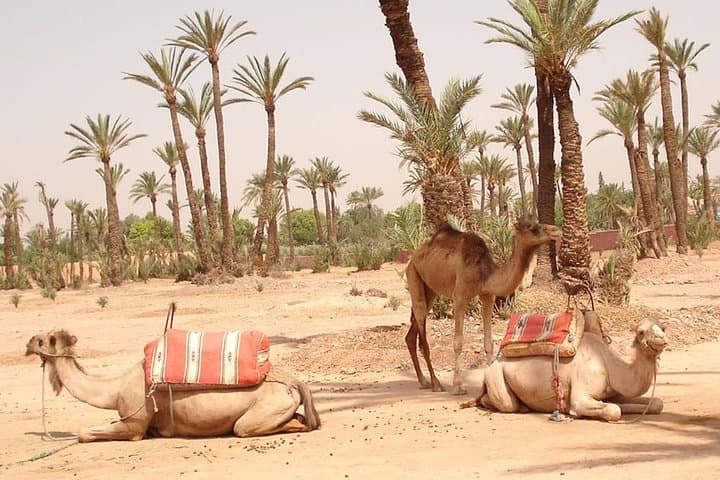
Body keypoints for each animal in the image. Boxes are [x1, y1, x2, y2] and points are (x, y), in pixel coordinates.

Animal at [25, 329, 321, 442]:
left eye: (42, 339)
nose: (27, 344)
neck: (116, 389)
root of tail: (294, 381)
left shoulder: (134, 423)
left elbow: (85, 433)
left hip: (260, 414)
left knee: (248, 427)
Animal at [405, 220, 562, 395]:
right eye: (533, 228)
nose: (556, 230)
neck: (485, 274)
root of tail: (414, 256)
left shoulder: (487, 296)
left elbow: (488, 342)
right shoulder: (460, 297)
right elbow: (458, 342)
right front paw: (458, 386)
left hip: (430, 290)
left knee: (412, 334)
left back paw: (423, 380)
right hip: (413, 275)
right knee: (422, 337)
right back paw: (435, 383)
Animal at [460, 312, 666, 421]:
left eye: (663, 327)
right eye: (641, 332)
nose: (661, 338)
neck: (609, 364)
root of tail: (491, 365)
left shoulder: (614, 391)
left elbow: (656, 403)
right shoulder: (581, 396)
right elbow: (614, 410)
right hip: (496, 377)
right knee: (506, 403)